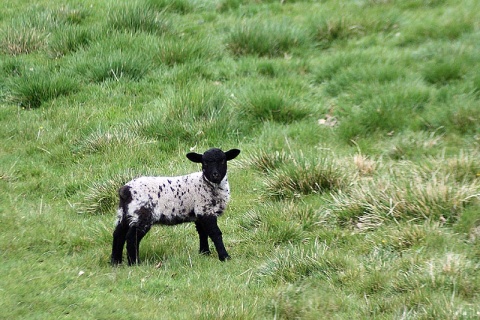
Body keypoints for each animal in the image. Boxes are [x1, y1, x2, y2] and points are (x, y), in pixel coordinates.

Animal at [109, 148, 239, 264]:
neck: (206, 183)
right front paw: (224, 257)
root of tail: (126, 190)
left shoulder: (199, 213)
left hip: (124, 213)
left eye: (223, 160)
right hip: (142, 214)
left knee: (118, 234)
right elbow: (215, 233)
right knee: (132, 237)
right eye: (205, 162)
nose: (215, 175)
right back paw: (134, 263)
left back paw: (115, 262)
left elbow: (202, 233)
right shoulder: (205, 210)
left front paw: (204, 253)